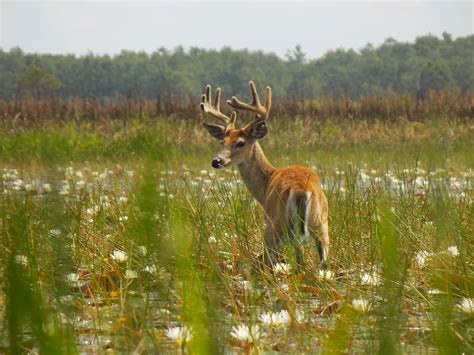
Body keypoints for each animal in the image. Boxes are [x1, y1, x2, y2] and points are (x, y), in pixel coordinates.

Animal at [200, 82, 330, 272]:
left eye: (241, 143)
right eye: (222, 141)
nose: (216, 161)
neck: (268, 181)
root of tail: (301, 189)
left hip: (276, 225)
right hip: (322, 225)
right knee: (322, 261)